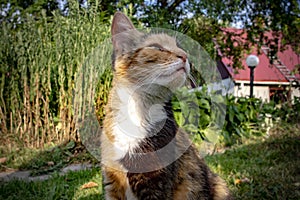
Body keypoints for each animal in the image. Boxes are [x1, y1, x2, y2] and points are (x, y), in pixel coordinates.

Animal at [101, 11, 232, 199]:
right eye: (156, 47)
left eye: (180, 47)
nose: (185, 56)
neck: (139, 110)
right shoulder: (112, 184)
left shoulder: (156, 184)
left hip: (220, 185)